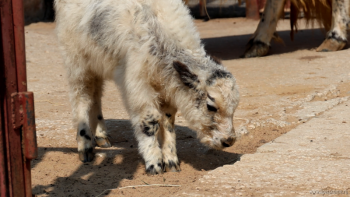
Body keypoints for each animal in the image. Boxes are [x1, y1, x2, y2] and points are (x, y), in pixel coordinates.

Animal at [54, 0, 239, 173]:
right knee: (81, 99)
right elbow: (150, 121)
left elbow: (168, 122)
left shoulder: (166, 89)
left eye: (234, 108)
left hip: (97, 64)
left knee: (95, 96)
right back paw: (85, 147)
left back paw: (101, 137)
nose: (228, 141)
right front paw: (154, 163)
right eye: (211, 106)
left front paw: (171, 161)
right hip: (77, 63)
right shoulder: (139, 88)